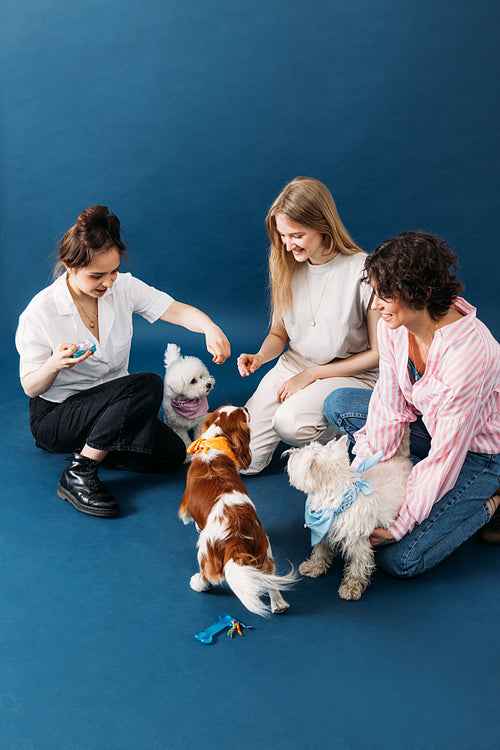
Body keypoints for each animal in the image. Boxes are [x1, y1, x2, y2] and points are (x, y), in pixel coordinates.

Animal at [288, 432, 412, 604]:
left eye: (298, 456)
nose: (290, 453)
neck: (338, 501)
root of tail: (403, 457)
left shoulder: (358, 544)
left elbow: (356, 568)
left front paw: (351, 588)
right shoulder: (324, 533)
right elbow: (319, 551)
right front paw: (314, 567)